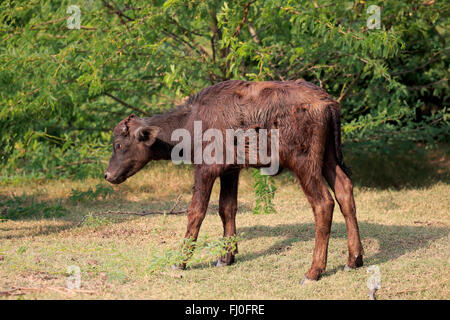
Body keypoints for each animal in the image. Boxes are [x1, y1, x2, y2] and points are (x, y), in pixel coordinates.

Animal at [106, 80, 366, 282]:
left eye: (119, 145)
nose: (108, 175)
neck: (192, 120)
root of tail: (327, 102)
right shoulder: (230, 172)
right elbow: (227, 209)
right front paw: (226, 256)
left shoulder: (205, 170)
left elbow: (196, 211)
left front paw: (180, 261)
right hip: (328, 159)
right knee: (344, 192)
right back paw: (354, 259)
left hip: (304, 165)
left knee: (323, 204)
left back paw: (313, 271)